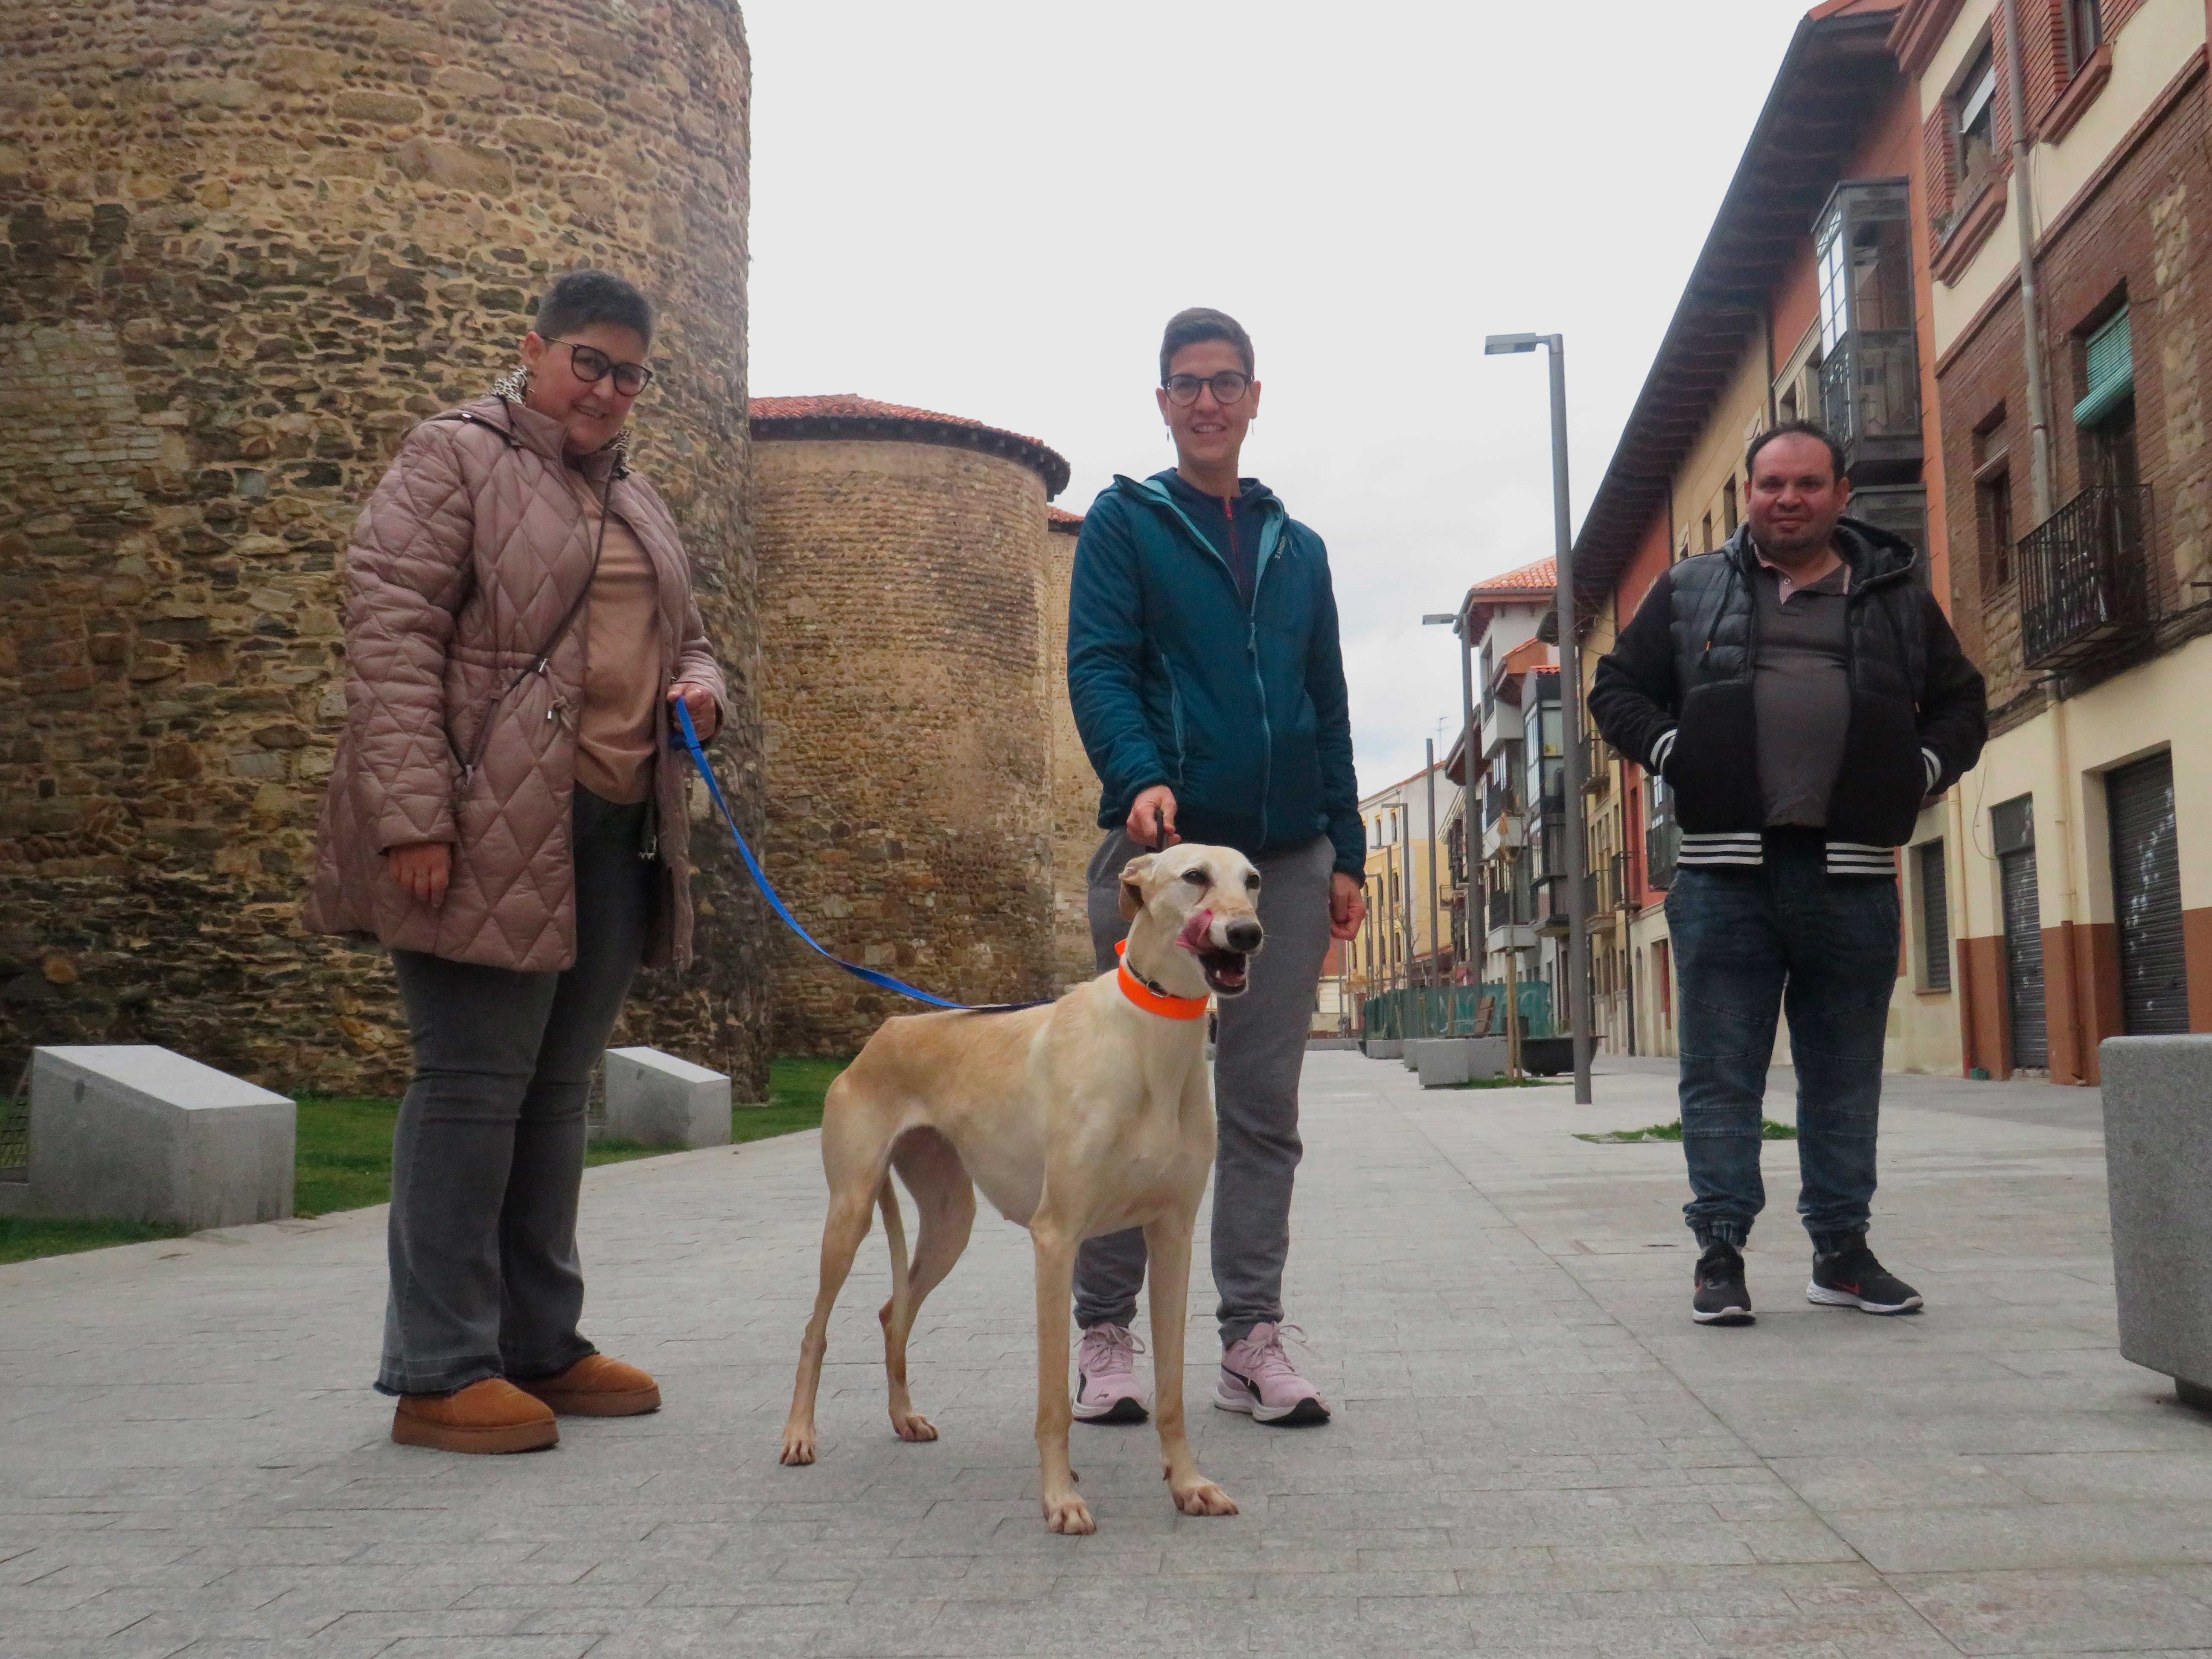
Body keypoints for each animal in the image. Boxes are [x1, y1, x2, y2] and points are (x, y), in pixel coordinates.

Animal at [778, 849, 1265, 1540]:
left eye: (1253, 880)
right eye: (1194, 876)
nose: (1248, 934)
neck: (1149, 1041)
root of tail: (885, 1031)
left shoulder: (1173, 1235)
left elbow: (1171, 1393)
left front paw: (1189, 1484)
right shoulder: (1056, 1238)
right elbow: (1053, 1399)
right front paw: (1061, 1498)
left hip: (949, 1223)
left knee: (893, 1312)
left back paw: (904, 1417)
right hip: (849, 1212)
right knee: (815, 1330)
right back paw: (799, 1434)